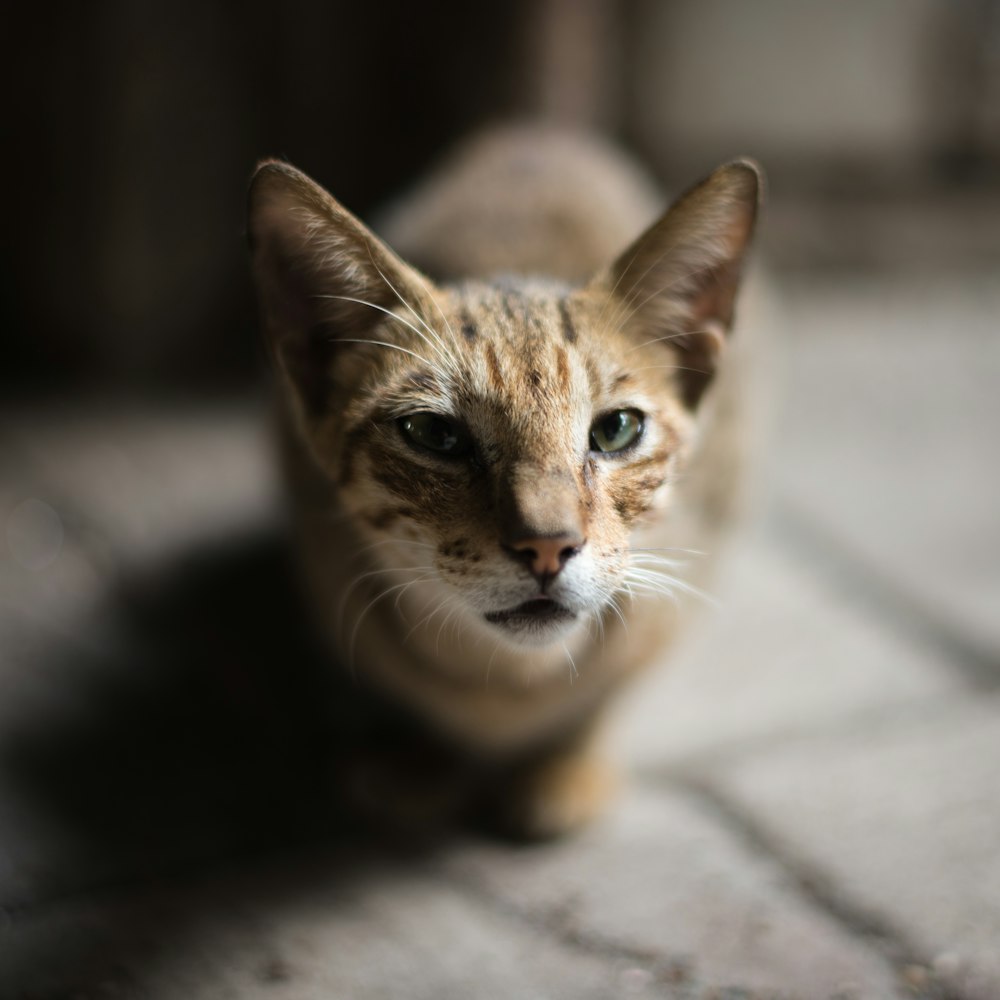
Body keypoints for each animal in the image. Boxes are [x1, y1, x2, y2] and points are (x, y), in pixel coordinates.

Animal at [246, 127, 760, 844]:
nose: (548, 547)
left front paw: (569, 757)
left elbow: (613, 685)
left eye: (617, 430)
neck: (511, 680)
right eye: (434, 433)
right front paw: (424, 758)